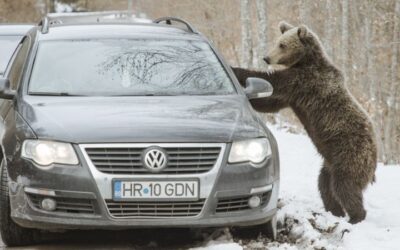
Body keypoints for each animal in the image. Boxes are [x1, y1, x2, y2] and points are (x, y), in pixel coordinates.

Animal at [233, 22, 376, 225]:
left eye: (282, 44)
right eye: (278, 41)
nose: (267, 58)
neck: (306, 60)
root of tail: (374, 157)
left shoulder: (305, 81)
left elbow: (274, 81)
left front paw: (236, 69)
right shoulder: (294, 96)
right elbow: (270, 102)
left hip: (350, 153)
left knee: (344, 186)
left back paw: (355, 217)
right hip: (331, 162)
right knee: (325, 184)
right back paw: (335, 212)